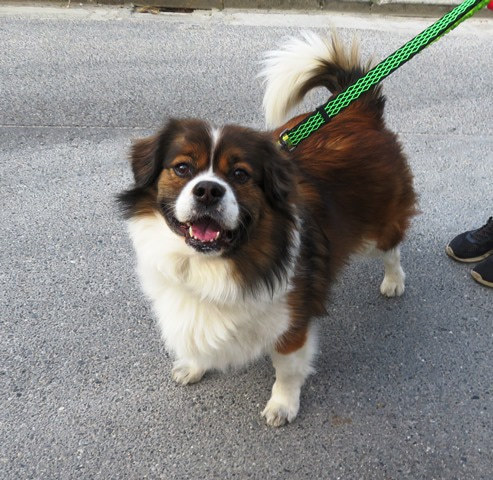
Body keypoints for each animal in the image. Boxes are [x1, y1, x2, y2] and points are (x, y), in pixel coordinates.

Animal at [118, 32, 417, 427]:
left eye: (240, 174)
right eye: (182, 168)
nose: (208, 190)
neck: (217, 261)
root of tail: (358, 110)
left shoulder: (291, 322)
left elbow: (287, 369)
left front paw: (283, 405)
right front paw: (194, 366)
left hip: (379, 225)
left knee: (391, 247)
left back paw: (394, 281)